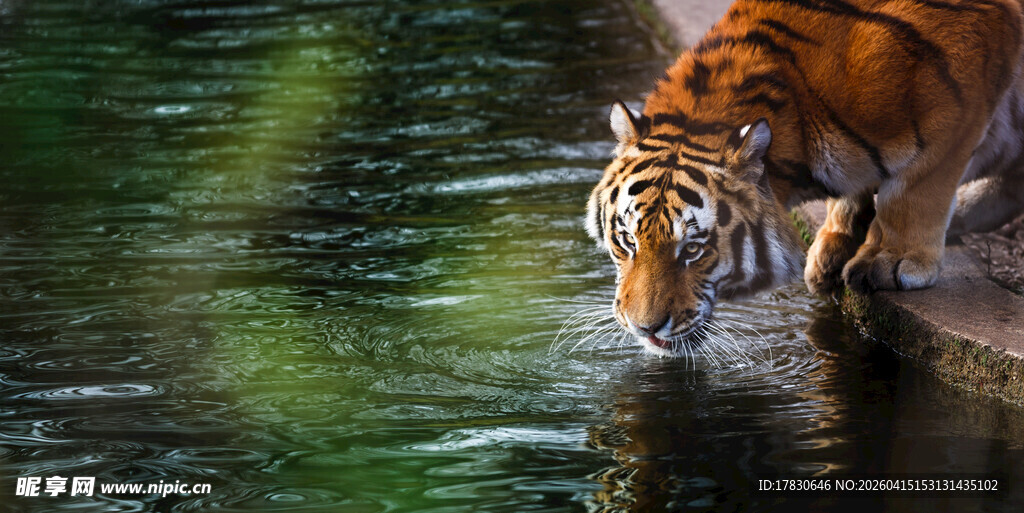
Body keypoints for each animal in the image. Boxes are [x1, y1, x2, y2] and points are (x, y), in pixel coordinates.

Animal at [586, 0, 1024, 356]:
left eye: (693, 249)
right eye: (627, 241)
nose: (645, 329)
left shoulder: (961, 95)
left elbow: (915, 188)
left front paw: (890, 258)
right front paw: (834, 246)